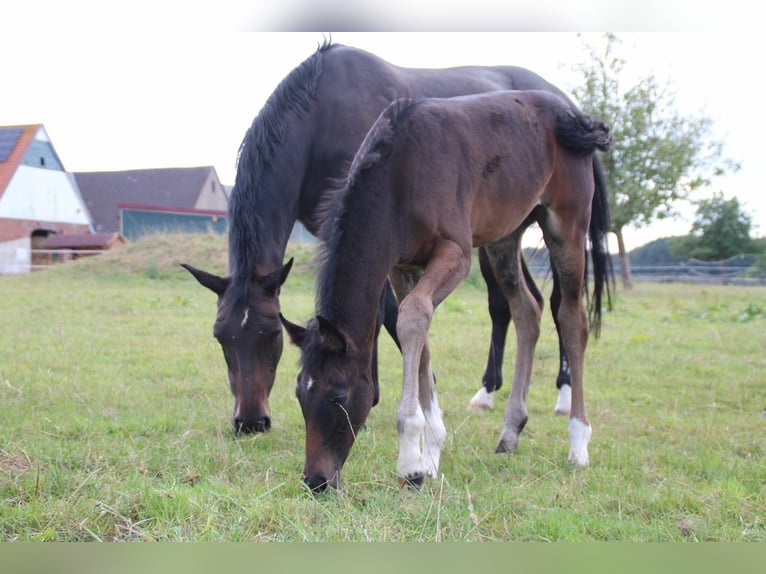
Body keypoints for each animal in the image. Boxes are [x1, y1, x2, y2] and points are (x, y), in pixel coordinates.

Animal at [182, 41, 611, 435]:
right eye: (220, 337)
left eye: (271, 335)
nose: (251, 421)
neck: (321, 117)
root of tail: (567, 105)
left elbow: (382, 312)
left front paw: (390, 395)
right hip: (504, 230)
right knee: (516, 304)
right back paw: (488, 393)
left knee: (555, 302)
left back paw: (564, 395)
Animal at [280, 90, 612, 492]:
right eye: (300, 392)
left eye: (339, 395)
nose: (316, 480)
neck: (400, 173)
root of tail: (572, 115)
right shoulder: (401, 266)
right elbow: (417, 331)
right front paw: (430, 455)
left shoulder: (455, 254)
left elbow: (413, 317)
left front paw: (410, 463)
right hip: (504, 235)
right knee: (527, 312)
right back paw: (510, 431)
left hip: (567, 225)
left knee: (572, 319)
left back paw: (578, 443)